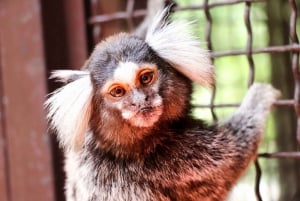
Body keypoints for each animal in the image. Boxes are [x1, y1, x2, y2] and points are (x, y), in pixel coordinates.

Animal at [45, 9, 280, 201]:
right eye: (118, 92)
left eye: (146, 78)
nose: (140, 101)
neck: (116, 148)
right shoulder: (175, 159)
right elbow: (233, 155)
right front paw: (260, 97)